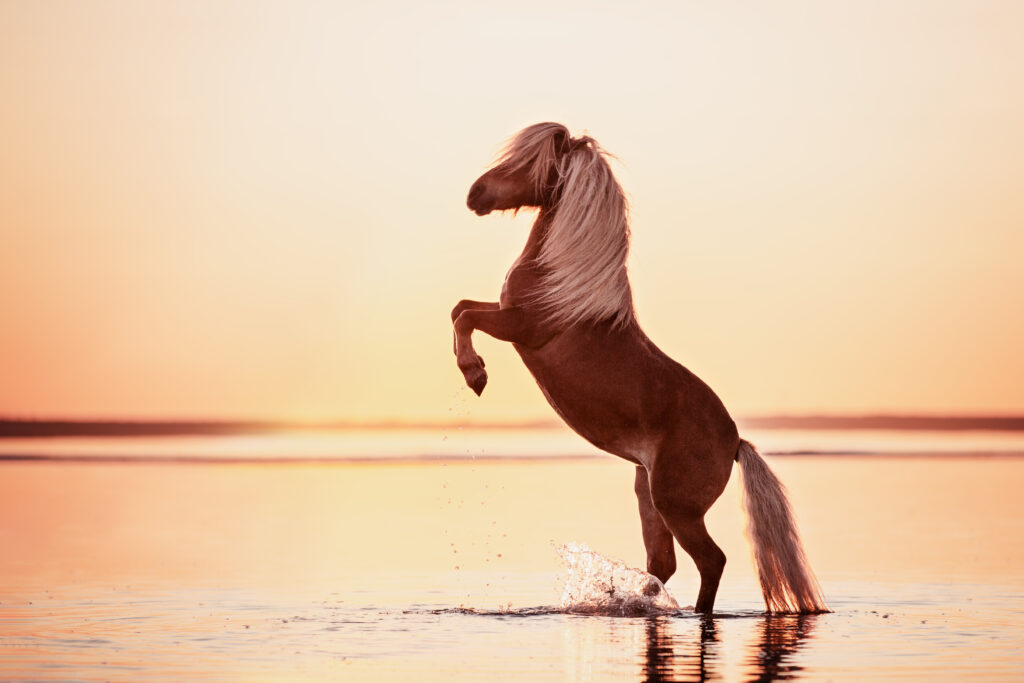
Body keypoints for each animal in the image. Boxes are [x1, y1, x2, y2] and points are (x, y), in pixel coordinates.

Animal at [452, 121, 827, 614]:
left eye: (526, 162)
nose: (474, 194)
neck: (561, 281)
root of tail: (735, 442)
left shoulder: (521, 327)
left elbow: (464, 316)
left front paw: (474, 374)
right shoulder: (506, 313)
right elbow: (460, 307)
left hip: (676, 506)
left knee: (711, 560)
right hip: (647, 494)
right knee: (662, 563)